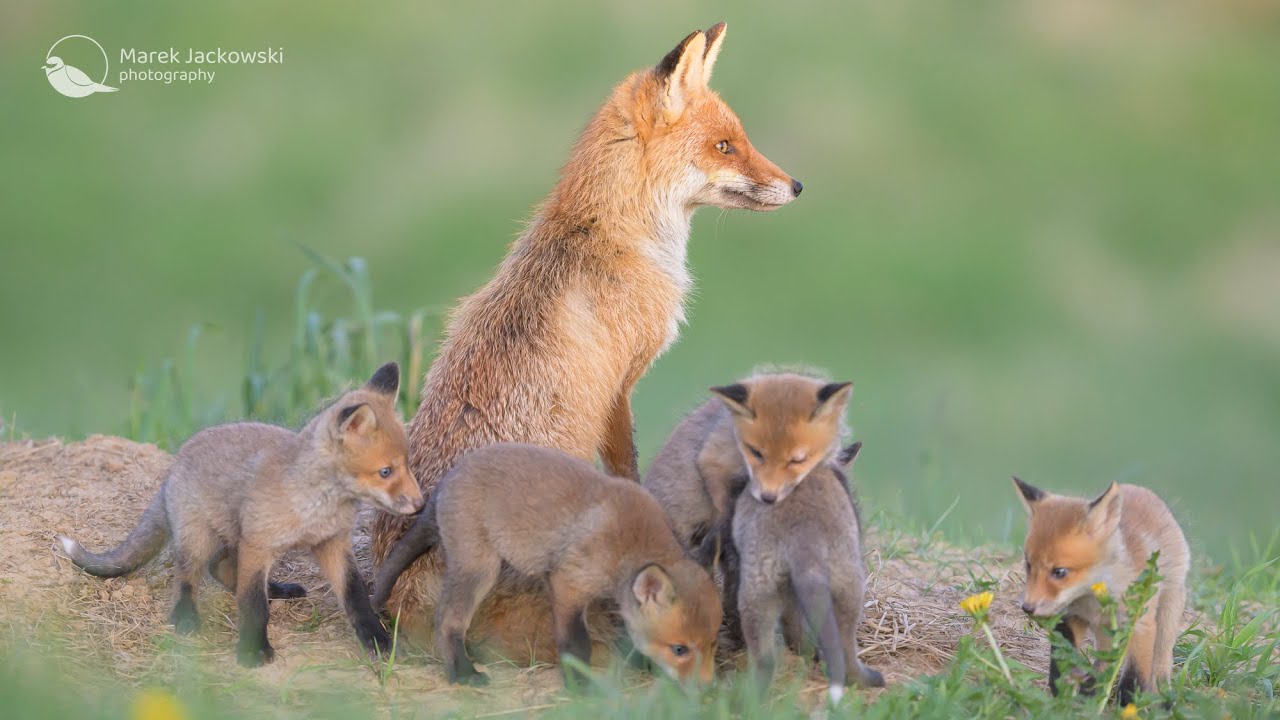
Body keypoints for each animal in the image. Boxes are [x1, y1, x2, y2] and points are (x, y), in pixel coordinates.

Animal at [58, 363, 424, 668]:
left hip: (232, 538)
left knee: (221, 568)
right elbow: (253, 606)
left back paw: (277, 589)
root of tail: (173, 467)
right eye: (385, 471)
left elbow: (356, 596)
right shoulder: (258, 544)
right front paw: (253, 651)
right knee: (190, 575)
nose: (420, 504)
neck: (317, 505)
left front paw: (377, 640)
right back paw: (186, 616)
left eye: (407, 464)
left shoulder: (332, 544)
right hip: (199, 538)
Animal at [370, 443, 721, 687]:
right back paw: (463, 674)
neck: (629, 537)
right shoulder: (567, 583)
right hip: (480, 569)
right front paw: (580, 686)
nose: (706, 689)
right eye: (680, 649)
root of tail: (449, 477)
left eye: (712, 642)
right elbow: (576, 644)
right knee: (447, 621)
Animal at [372, 21, 801, 662]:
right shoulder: (619, 386)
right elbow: (629, 468)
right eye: (725, 146)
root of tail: (402, 606)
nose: (796, 185)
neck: (611, 233)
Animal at [1013, 477, 1190, 704]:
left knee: (1162, 658)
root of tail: (1139, 488)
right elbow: (1062, 656)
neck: (1094, 597)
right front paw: (1061, 689)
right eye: (1028, 565)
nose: (1027, 607)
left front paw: (1127, 706)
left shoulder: (1140, 623)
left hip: (1168, 610)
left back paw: (1162, 696)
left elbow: (1134, 677)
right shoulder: (1072, 615)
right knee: (1106, 657)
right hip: (1104, 629)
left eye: (1059, 572)